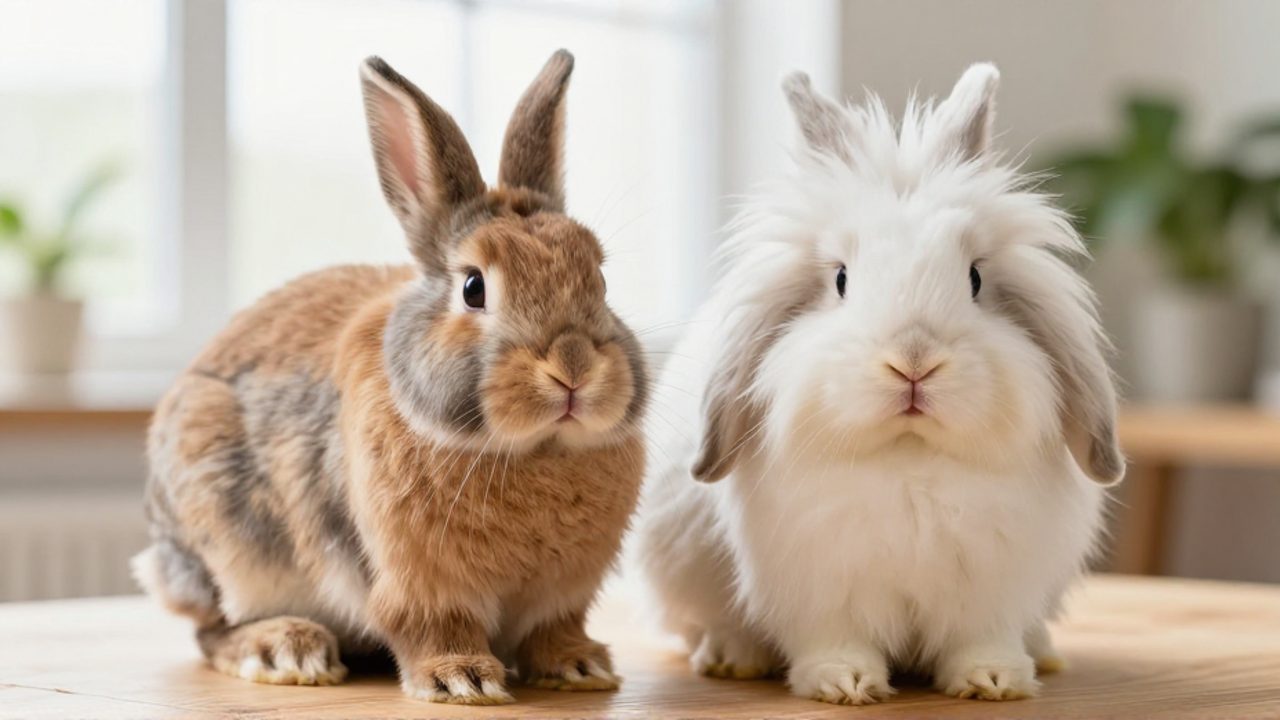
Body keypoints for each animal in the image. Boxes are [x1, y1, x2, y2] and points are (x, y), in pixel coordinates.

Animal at [131, 50, 649, 706]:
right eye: (473, 287)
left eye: (600, 280)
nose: (573, 368)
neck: (535, 449)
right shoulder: (419, 581)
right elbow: (431, 625)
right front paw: (463, 679)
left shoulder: (562, 594)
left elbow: (553, 629)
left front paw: (579, 667)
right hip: (224, 541)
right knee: (211, 630)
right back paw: (287, 649)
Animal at [634, 63, 1124, 705]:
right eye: (842, 279)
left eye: (975, 279)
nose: (913, 362)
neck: (908, 458)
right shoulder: (818, 580)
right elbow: (834, 638)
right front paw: (844, 684)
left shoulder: (991, 582)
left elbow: (981, 636)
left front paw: (994, 680)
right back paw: (731, 658)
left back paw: (1043, 653)